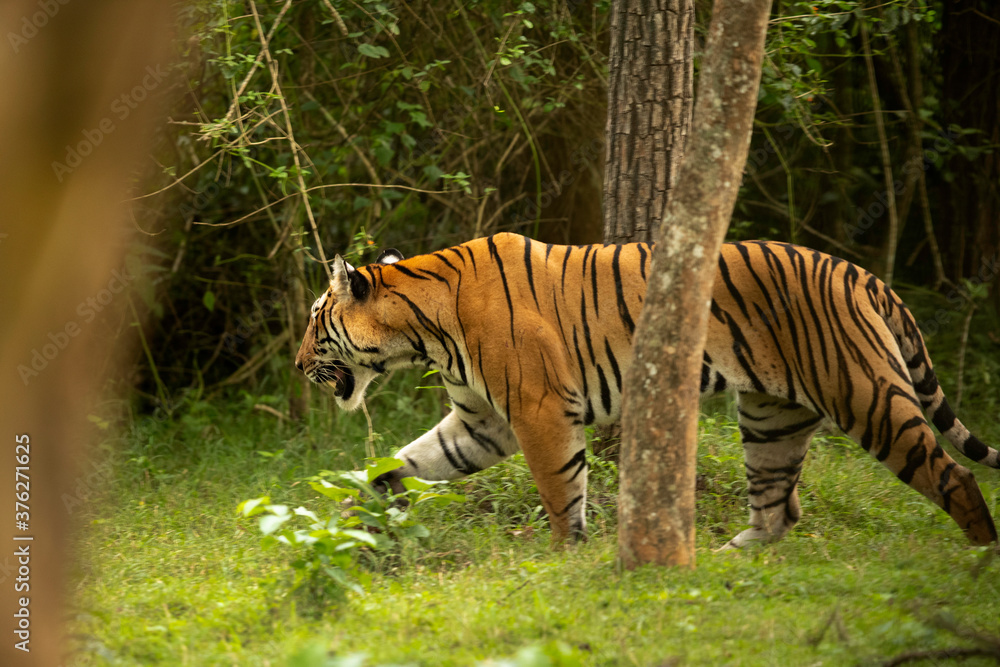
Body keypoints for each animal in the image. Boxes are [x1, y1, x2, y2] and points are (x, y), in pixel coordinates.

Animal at [292, 234, 996, 548]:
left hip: (865, 393)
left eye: (314, 321)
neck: (422, 330)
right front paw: (368, 503)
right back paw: (731, 557)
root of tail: (861, 274)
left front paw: (566, 554)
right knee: (778, 505)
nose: (298, 365)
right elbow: (407, 461)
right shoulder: (479, 423)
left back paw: (978, 557)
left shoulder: (538, 411)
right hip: (771, 415)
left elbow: (560, 488)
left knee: (954, 475)